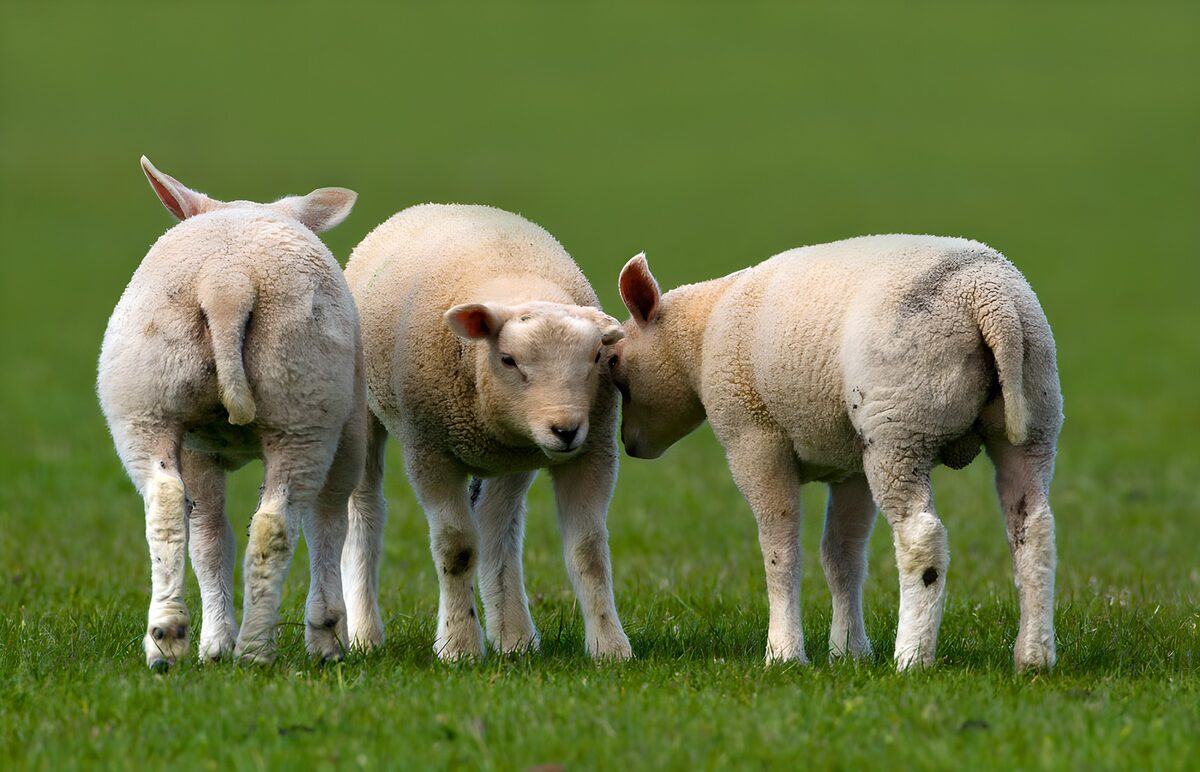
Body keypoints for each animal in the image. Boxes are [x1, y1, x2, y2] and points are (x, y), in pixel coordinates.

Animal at [97, 157, 366, 669]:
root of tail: (227, 281)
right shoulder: (346, 438)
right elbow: (328, 522)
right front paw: (325, 636)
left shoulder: (199, 449)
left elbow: (209, 539)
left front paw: (215, 643)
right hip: (302, 405)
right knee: (275, 523)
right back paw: (256, 650)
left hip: (148, 398)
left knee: (165, 502)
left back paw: (168, 637)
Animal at [341, 204, 632, 660]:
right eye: (508, 359)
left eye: (598, 356)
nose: (565, 429)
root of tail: (432, 206)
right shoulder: (430, 450)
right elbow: (457, 547)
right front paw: (458, 647)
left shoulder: (593, 450)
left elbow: (588, 551)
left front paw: (610, 648)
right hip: (364, 409)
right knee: (365, 513)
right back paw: (365, 636)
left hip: (514, 458)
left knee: (498, 523)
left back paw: (514, 637)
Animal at [610, 235, 1063, 671]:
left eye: (614, 362)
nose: (629, 444)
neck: (700, 338)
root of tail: (990, 301)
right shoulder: (852, 467)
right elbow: (842, 557)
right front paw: (849, 651)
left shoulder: (754, 439)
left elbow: (780, 552)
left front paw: (784, 653)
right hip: (1033, 415)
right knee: (1033, 530)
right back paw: (1034, 656)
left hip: (900, 427)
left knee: (922, 538)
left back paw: (912, 656)